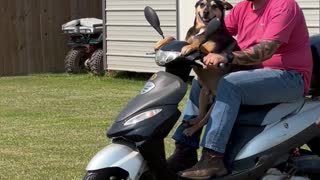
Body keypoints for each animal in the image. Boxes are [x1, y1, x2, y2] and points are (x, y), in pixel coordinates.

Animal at [154, 0, 239, 136]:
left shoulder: (208, 52)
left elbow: (198, 43)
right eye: (202, 4)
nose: (205, 12)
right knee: (200, 115)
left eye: (214, 5)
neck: (202, 28)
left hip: (216, 105)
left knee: (205, 120)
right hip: (203, 94)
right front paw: (160, 43)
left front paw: (190, 47)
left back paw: (191, 130)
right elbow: (174, 38)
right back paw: (191, 121)